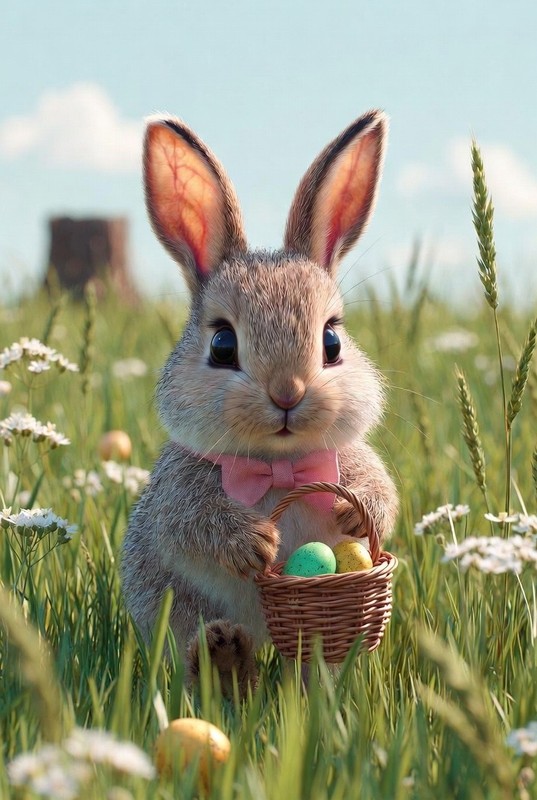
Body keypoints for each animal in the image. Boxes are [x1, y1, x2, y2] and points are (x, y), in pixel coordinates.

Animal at [121, 109, 398, 695]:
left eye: (332, 342)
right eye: (222, 346)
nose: (287, 392)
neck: (278, 464)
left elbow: (378, 493)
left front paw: (352, 512)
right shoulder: (180, 495)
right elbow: (192, 522)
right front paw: (256, 543)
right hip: (174, 605)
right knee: (193, 649)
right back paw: (225, 655)